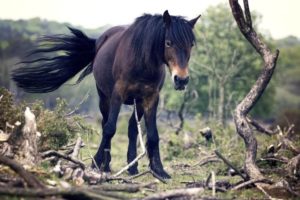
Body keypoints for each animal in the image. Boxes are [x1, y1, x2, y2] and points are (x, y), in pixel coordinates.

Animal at [12, 10, 199, 178]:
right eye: (168, 42)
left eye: (191, 44)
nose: (181, 79)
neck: (142, 62)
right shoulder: (117, 95)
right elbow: (110, 128)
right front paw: (96, 162)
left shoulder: (150, 98)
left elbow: (153, 135)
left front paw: (159, 170)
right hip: (104, 97)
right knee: (105, 124)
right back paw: (106, 165)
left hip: (137, 102)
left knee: (132, 129)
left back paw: (132, 167)